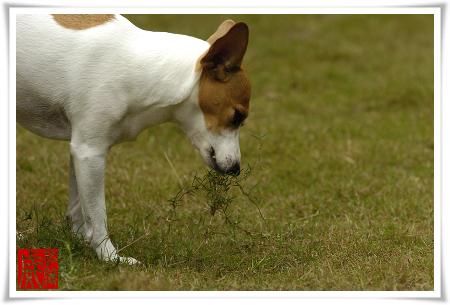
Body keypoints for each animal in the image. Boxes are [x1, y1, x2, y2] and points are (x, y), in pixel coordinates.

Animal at [16, 13, 250, 262]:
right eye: (238, 116)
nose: (236, 169)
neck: (139, 70)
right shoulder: (90, 153)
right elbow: (97, 214)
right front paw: (110, 257)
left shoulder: (78, 149)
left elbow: (79, 206)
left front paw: (80, 242)